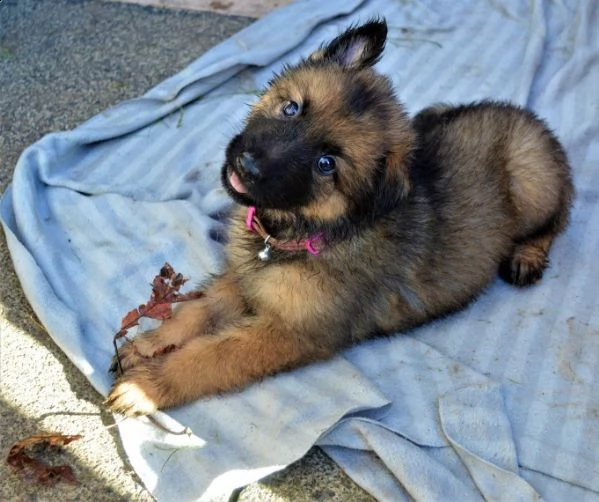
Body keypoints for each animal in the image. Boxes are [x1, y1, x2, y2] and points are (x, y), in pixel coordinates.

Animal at [106, 18, 572, 416]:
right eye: (292, 109)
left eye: (326, 164)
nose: (248, 164)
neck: (293, 234)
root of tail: (525, 115)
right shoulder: (244, 278)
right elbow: (196, 311)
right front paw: (149, 344)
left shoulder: (290, 332)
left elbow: (213, 355)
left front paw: (148, 386)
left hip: (532, 180)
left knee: (561, 212)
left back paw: (527, 255)